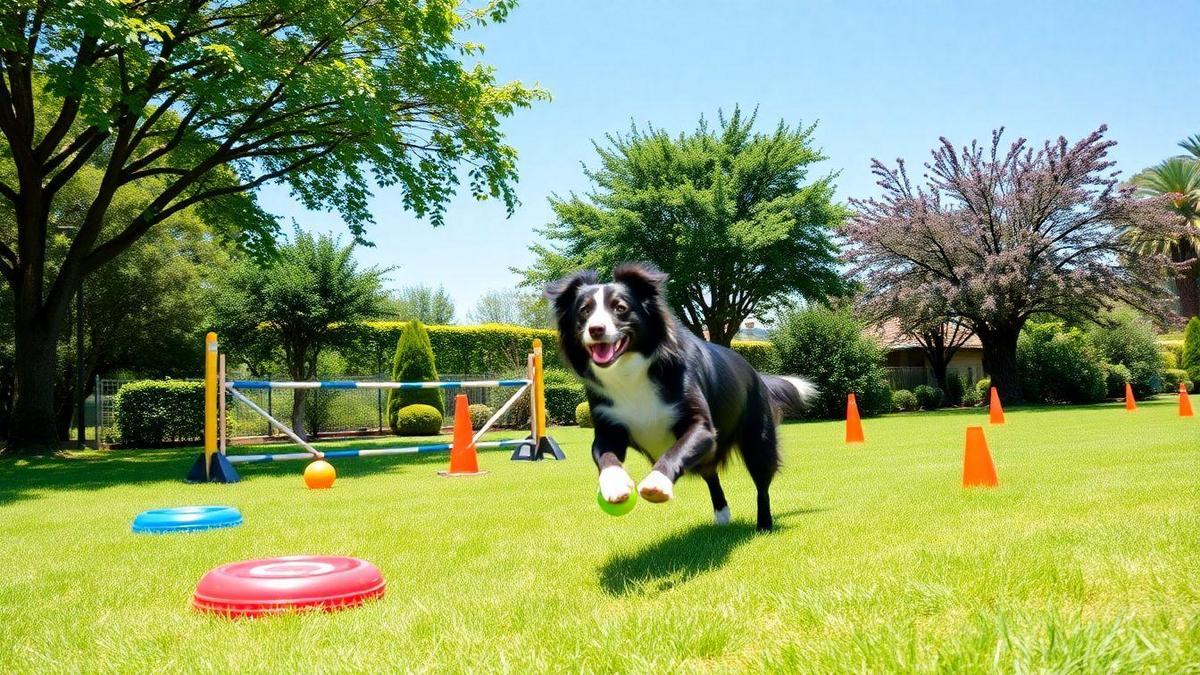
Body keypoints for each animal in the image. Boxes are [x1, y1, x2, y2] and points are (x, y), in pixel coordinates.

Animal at [547, 263, 816, 530]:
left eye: (620, 308)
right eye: (584, 311)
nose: (596, 329)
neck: (630, 372)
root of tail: (757, 374)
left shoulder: (701, 425)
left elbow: (675, 450)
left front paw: (657, 482)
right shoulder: (608, 424)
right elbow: (605, 454)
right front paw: (614, 485)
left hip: (757, 438)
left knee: (761, 483)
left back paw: (764, 524)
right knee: (711, 474)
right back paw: (722, 515)